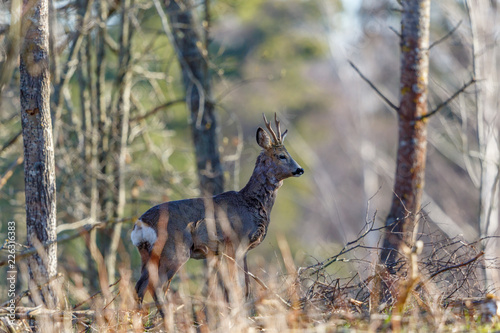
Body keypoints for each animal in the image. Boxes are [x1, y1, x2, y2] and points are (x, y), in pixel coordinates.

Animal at [131, 113, 302, 310]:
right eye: (281, 155)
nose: (300, 169)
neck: (251, 203)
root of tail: (140, 224)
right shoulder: (233, 242)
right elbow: (236, 285)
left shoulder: (229, 251)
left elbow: (240, 286)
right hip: (174, 249)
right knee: (156, 286)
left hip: (146, 253)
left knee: (140, 286)